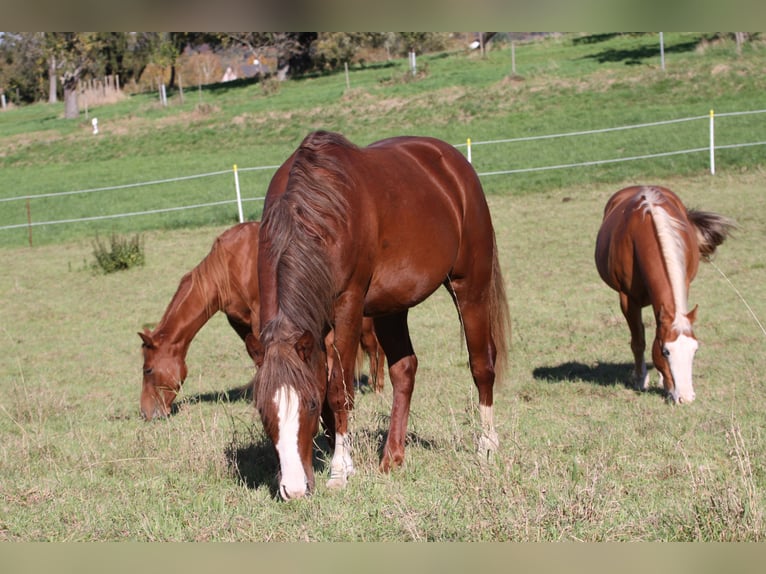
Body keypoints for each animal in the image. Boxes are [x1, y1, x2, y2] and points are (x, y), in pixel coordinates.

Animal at [139, 223, 388, 420]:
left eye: (148, 370)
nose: (146, 413)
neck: (230, 263)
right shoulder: (240, 322)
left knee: (374, 348)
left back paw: (377, 387)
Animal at [255, 130, 512, 500]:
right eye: (263, 410)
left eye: (310, 405)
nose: (294, 489)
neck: (317, 210)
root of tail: (453, 162)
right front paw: (345, 462)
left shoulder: (347, 306)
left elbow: (339, 389)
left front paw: (338, 472)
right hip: (392, 307)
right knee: (404, 371)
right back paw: (393, 456)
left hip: (470, 286)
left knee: (482, 365)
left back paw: (487, 446)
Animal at [596, 188, 736, 404]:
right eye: (666, 352)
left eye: (695, 349)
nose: (686, 398)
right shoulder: (627, 300)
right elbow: (638, 341)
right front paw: (641, 380)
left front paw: (662, 381)